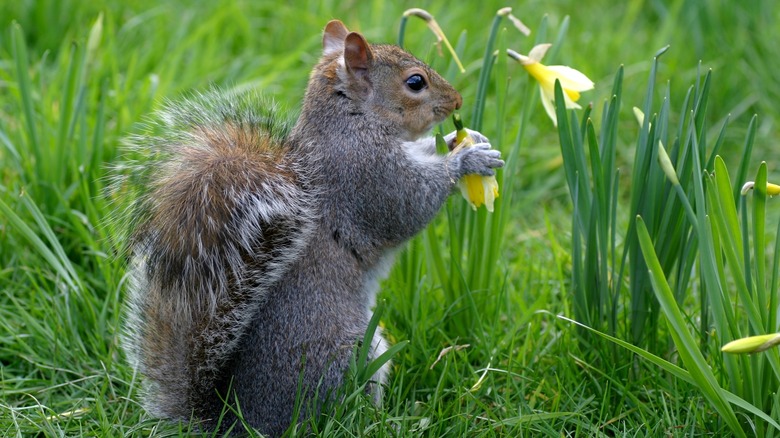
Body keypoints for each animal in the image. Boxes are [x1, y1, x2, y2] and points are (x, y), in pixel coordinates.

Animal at [119, 19, 502, 434]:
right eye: (415, 82)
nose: (458, 102)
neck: (351, 121)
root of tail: (237, 421)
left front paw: (464, 138)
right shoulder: (366, 175)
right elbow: (409, 205)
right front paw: (467, 160)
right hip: (347, 355)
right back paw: (383, 422)